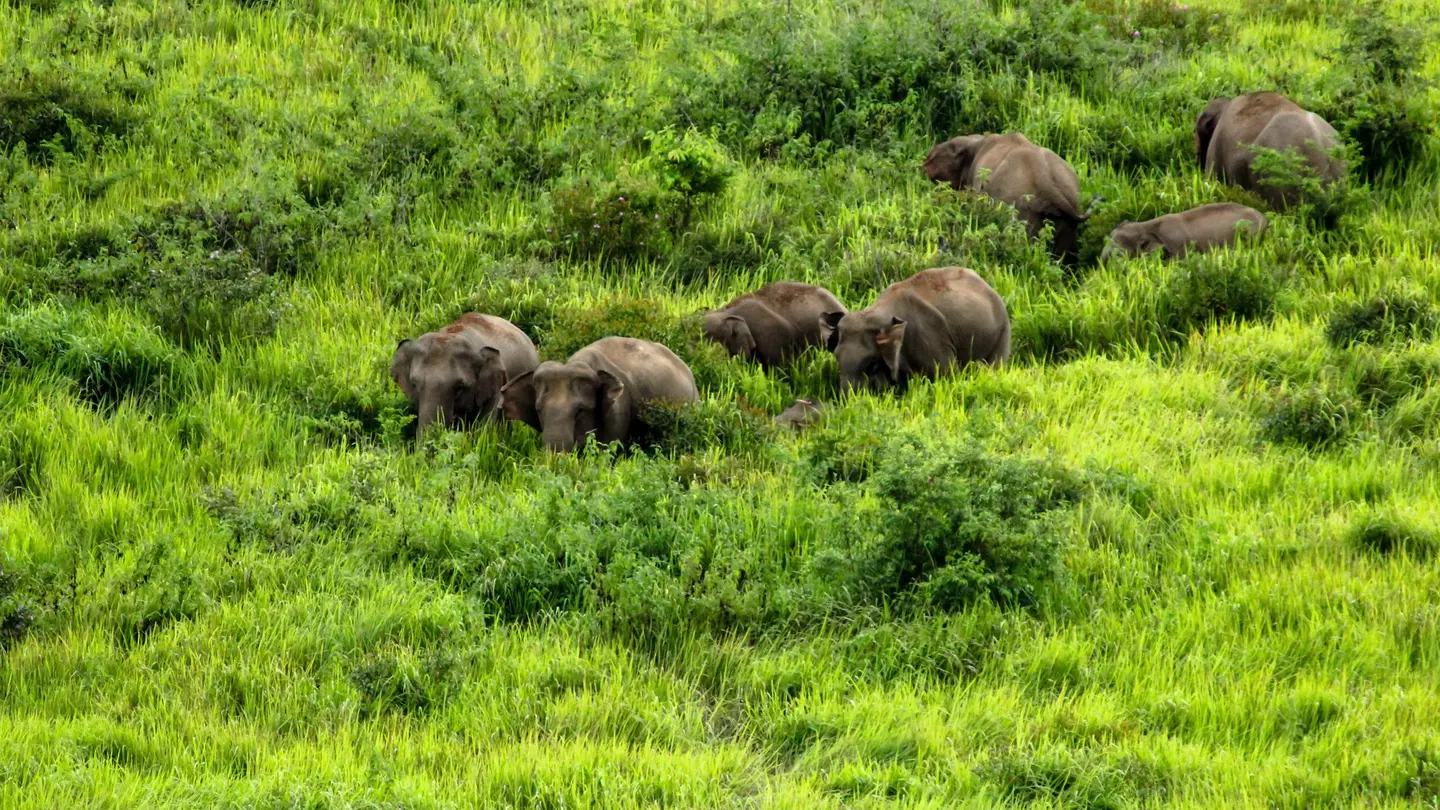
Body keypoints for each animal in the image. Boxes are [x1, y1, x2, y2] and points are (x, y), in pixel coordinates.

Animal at [820, 267, 1009, 394]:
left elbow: (946, 375)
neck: (876, 312)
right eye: (836, 356)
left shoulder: (931, 337)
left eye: (871, 364)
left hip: (1002, 331)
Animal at [924, 132, 1087, 264]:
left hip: (1024, 211)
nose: (924, 162)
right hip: (1068, 215)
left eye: (953, 149)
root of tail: (1046, 181)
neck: (977, 140)